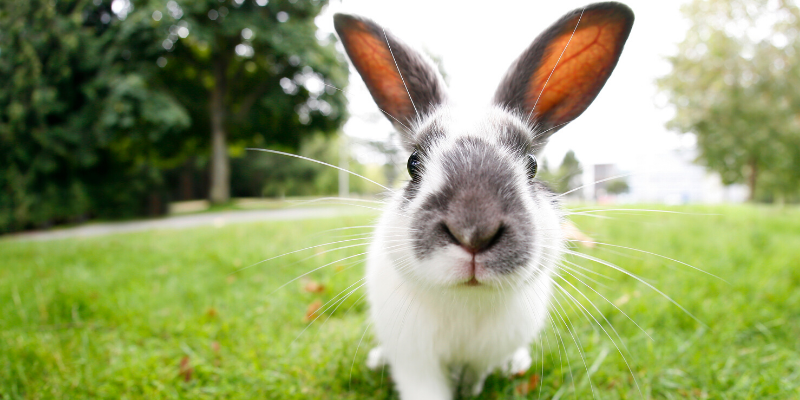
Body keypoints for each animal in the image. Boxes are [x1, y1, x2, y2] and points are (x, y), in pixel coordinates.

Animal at [333, 2, 634, 399]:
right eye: (413, 163)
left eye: (532, 165)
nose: (473, 232)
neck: (466, 300)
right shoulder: (415, 363)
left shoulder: (482, 358)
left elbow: (474, 378)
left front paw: (472, 390)